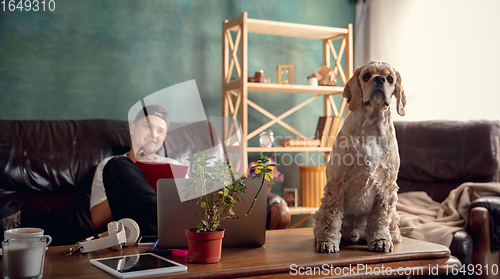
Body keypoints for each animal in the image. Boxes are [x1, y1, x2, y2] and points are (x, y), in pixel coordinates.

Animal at [314, 61, 408, 254]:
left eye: (390, 78)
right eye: (366, 76)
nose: (379, 79)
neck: (372, 125)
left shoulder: (387, 185)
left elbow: (380, 217)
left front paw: (381, 240)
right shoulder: (336, 182)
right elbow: (331, 218)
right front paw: (327, 242)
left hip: (395, 214)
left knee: (392, 225)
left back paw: (392, 237)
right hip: (318, 212)